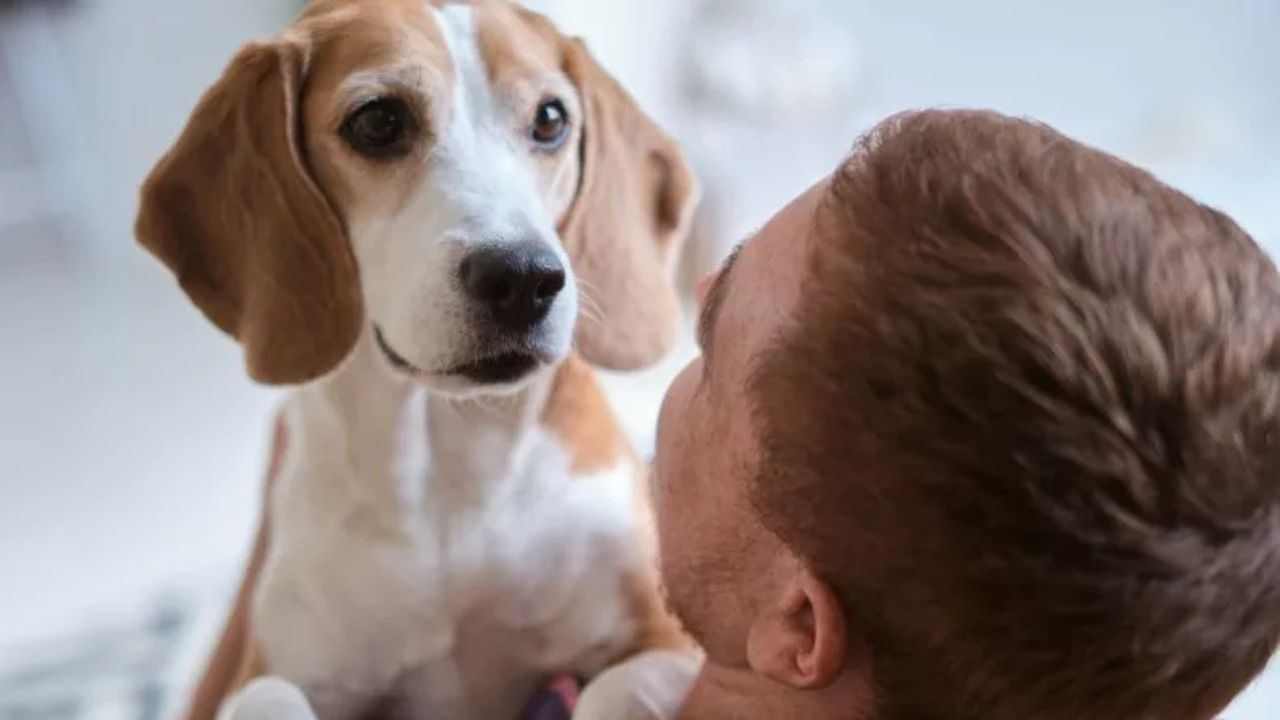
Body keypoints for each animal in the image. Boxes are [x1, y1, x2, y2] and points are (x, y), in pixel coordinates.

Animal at [136, 1, 701, 717]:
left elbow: (615, 690)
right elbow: (269, 697)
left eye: (550, 119)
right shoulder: (269, 671)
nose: (523, 277)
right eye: (378, 121)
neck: (453, 471)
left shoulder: (667, 640)